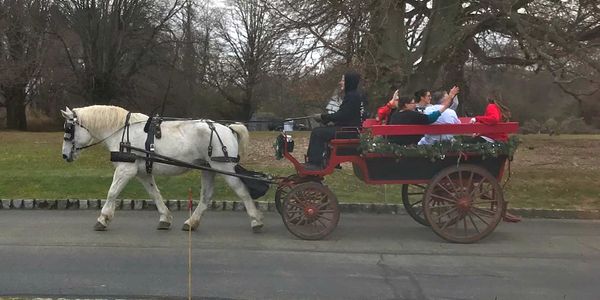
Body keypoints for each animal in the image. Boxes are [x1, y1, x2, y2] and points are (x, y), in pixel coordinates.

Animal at [59, 105, 264, 232]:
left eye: (69, 129)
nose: (64, 155)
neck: (122, 132)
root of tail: (227, 128)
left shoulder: (126, 170)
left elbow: (112, 192)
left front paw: (102, 219)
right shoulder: (142, 173)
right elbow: (155, 194)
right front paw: (165, 218)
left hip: (224, 166)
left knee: (242, 191)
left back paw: (256, 220)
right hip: (208, 168)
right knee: (206, 196)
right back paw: (191, 222)